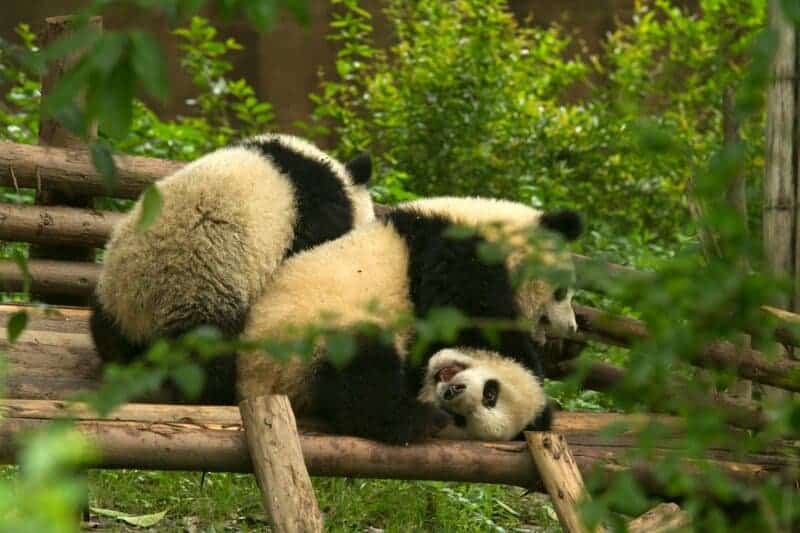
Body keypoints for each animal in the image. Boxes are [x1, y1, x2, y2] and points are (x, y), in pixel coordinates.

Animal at [90, 134, 374, 403]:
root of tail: (134, 313)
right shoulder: (317, 216)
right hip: (197, 292)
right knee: (207, 357)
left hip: (111, 293)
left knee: (106, 335)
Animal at [238, 196, 581, 443]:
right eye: (561, 292)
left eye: (465, 420)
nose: (572, 327)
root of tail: (253, 385)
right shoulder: (456, 252)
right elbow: (466, 314)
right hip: (301, 340)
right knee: (361, 368)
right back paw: (414, 420)